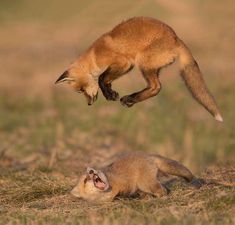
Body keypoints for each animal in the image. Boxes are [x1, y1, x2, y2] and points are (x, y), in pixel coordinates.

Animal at [55, 16, 222, 121]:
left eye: (81, 90)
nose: (89, 104)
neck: (94, 56)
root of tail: (176, 38)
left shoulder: (124, 62)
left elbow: (102, 78)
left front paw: (109, 94)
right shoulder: (124, 67)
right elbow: (106, 80)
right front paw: (111, 93)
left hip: (143, 63)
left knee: (156, 87)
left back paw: (130, 99)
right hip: (152, 67)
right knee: (155, 88)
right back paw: (130, 99)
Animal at [70, 151, 199, 202]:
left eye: (94, 170)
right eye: (85, 180)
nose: (91, 171)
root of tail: (147, 155)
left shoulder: (127, 185)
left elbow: (125, 192)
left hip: (145, 184)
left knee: (161, 190)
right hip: (145, 185)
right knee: (163, 188)